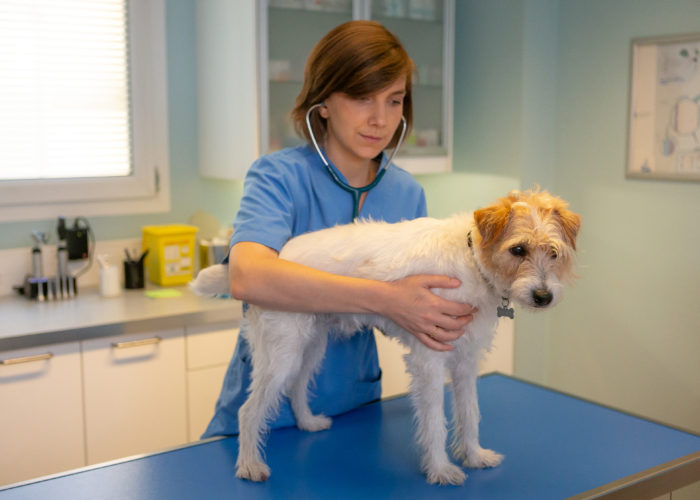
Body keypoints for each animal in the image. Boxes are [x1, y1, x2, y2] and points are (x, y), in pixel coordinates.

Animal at [190, 188, 580, 484]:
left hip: (311, 347)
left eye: (553, 252)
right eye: (518, 250)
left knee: (297, 387)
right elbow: (436, 421)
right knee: (248, 411)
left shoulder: (466, 363)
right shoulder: (429, 361)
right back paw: (249, 465)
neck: (470, 260)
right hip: (281, 355)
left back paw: (308, 422)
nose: (543, 296)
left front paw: (473, 455)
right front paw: (440, 470)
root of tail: (280, 255)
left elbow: (470, 414)